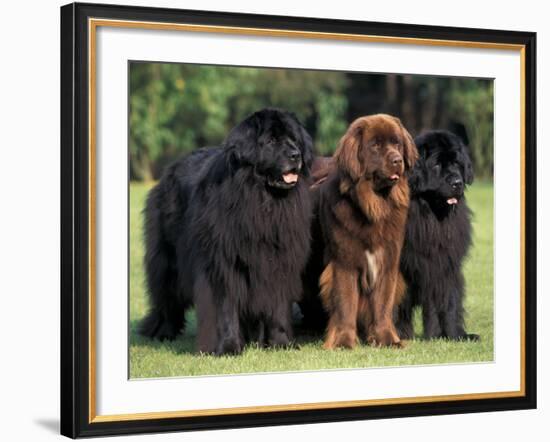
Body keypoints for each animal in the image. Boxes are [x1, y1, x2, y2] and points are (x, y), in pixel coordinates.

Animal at [140, 108, 314, 356]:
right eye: (272, 141)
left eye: (294, 140)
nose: (295, 155)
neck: (263, 201)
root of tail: (170, 169)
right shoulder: (221, 265)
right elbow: (225, 307)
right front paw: (229, 347)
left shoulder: (279, 262)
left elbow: (278, 306)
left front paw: (281, 343)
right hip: (168, 260)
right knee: (166, 296)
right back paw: (163, 331)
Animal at [312, 115, 416, 350]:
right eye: (375, 145)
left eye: (397, 143)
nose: (397, 160)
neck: (373, 206)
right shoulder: (344, 262)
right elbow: (345, 304)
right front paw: (343, 342)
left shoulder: (387, 262)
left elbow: (383, 305)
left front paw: (387, 339)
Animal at [398, 129, 480, 340]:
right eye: (436, 165)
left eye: (457, 163)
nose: (457, 182)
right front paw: (396, 335)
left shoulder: (444, 265)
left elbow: (448, 301)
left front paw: (450, 335)